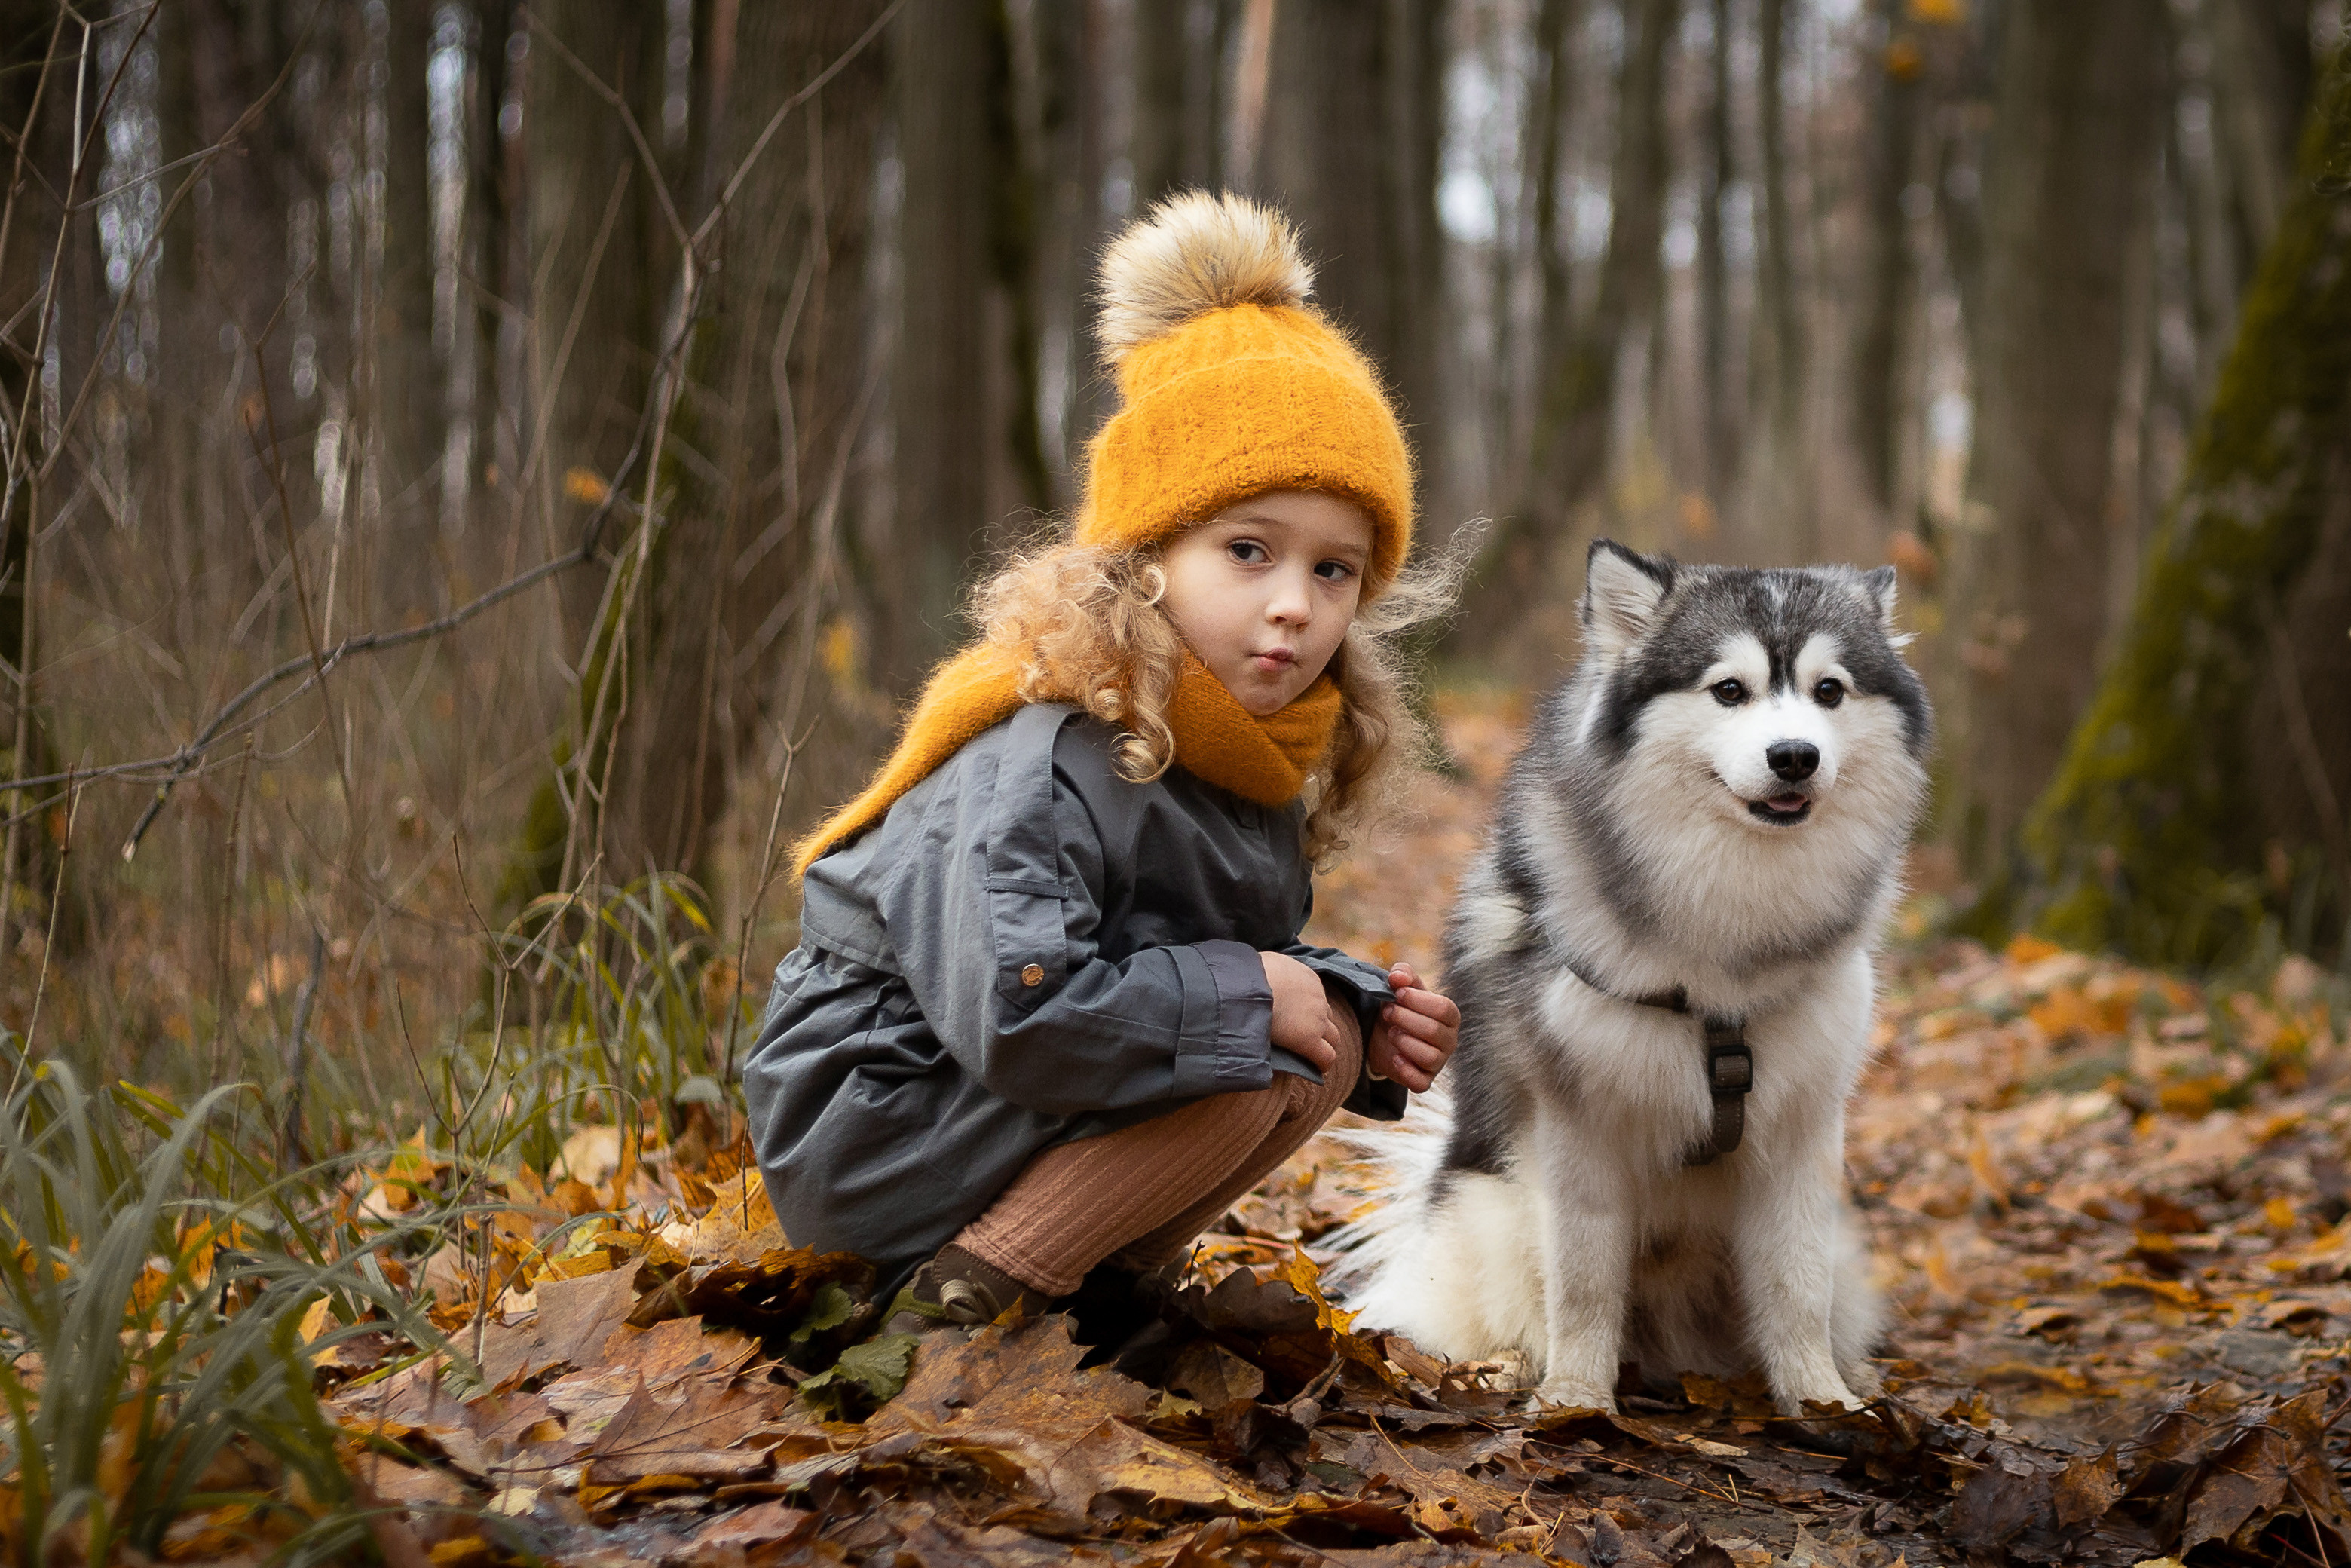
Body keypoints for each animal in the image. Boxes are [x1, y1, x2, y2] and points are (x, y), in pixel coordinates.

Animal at [1335, 541, 1937, 1410]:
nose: (1795, 756)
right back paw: (1506, 1367)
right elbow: (1583, 1282)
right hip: (1494, 1214)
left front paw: (1824, 1402)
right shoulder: (1582, 1130)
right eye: (1728, 690)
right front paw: (1573, 1401)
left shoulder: (1800, 1135)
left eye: (1829, 690)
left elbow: (1796, 1286)